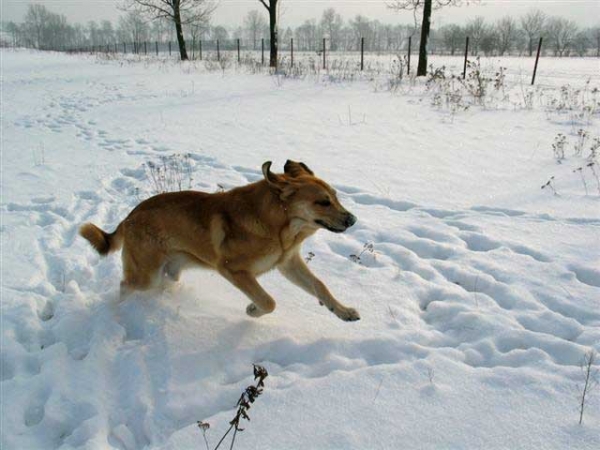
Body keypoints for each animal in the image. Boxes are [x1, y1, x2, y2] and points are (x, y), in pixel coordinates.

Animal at [81, 160, 360, 322]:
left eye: (335, 197)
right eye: (322, 202)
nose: (353, 220)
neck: (277, 224)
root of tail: (129, 217)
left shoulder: (288, 262)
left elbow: (319, 286)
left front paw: (343, 311)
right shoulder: (233, 270)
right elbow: (268, 301)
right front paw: (253, 310)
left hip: (169, 271)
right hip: (146, 275)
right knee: (124, 286)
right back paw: (119, 311)